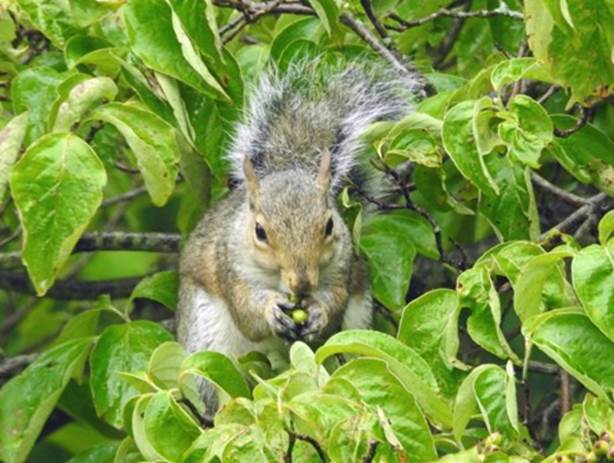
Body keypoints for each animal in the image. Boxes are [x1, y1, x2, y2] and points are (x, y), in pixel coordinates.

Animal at [176, 58, 422, 360]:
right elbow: (246, 313)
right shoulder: (229, 268)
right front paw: (269, 309)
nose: (302, 284)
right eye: (259, 231)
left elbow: (336, 302)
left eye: (329, 225)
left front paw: (319, 312)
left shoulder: (343, 267)